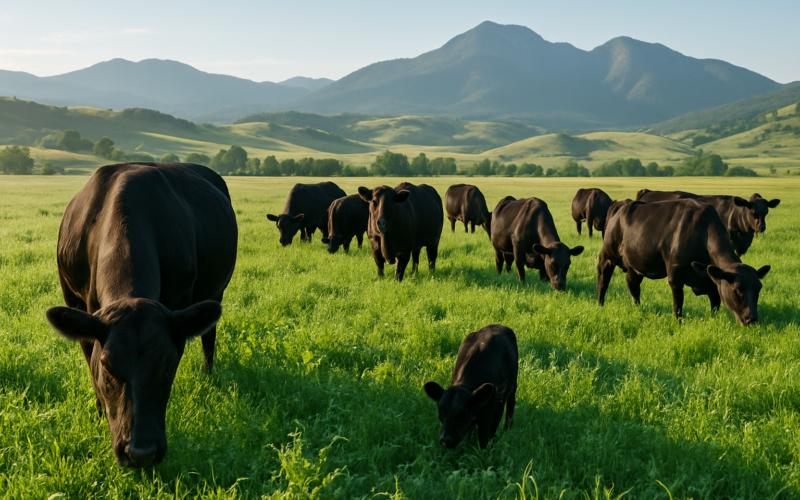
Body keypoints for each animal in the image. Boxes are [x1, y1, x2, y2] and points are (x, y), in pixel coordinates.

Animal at [45, 163, 238, 468]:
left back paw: (209, 377)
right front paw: (99, 416)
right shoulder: (77, 302)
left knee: (209, 336)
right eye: (107, 365)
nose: (141, 453)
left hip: (217, 290)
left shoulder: (180, 306)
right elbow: (91, 368)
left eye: (169, 364)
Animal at [597, 198, 770, 325]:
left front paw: (713, 319)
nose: (752, 319)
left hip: (635, 264)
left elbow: (715, 304)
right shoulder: (675, 278)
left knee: (633, 286)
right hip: (608, 254)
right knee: (603, 279)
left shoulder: (712, 281)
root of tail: (622, 203)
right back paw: (600, 305)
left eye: (758, 289)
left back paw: (637, 308)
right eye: (737, 290)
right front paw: (678, 324)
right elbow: (678, 307)